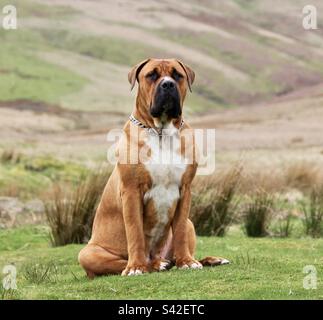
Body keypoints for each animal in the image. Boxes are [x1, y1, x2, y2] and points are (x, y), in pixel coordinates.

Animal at [79, 58, 229, 278]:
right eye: (151, 75)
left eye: (177, 75)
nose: (168, 85)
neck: (161, 131)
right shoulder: (131, 192)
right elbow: (135, 232)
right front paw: (135, 267)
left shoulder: (185, 190)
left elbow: (180, 232)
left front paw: (187, 262)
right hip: (87, 253)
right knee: (121, 263)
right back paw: (153, 265)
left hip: (190, 223)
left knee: (177, 247)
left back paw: (205, 260)